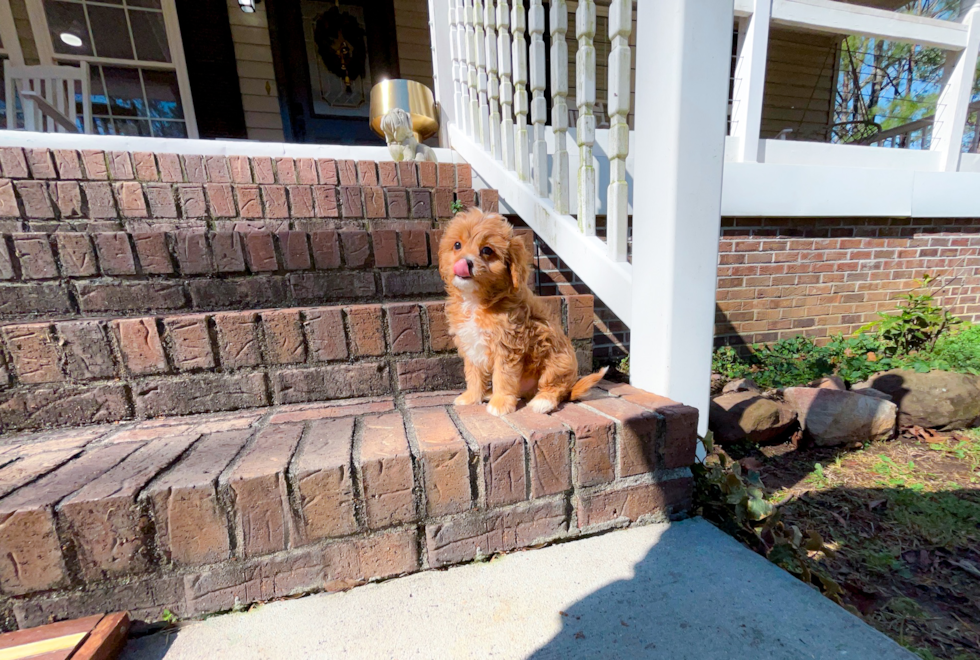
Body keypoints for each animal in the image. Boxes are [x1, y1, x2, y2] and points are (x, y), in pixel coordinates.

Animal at [438, 206, 604, 416]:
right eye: (457, 245)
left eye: (487, 250)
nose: (464, 263)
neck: (476, 301)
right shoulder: (470, 343)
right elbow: (473, 373)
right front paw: (471, 397)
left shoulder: (507, 346)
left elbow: (503, 377)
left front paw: (500, 403)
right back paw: (489, 394)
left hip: (558, 361)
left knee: (555, 388)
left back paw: (542, 401)